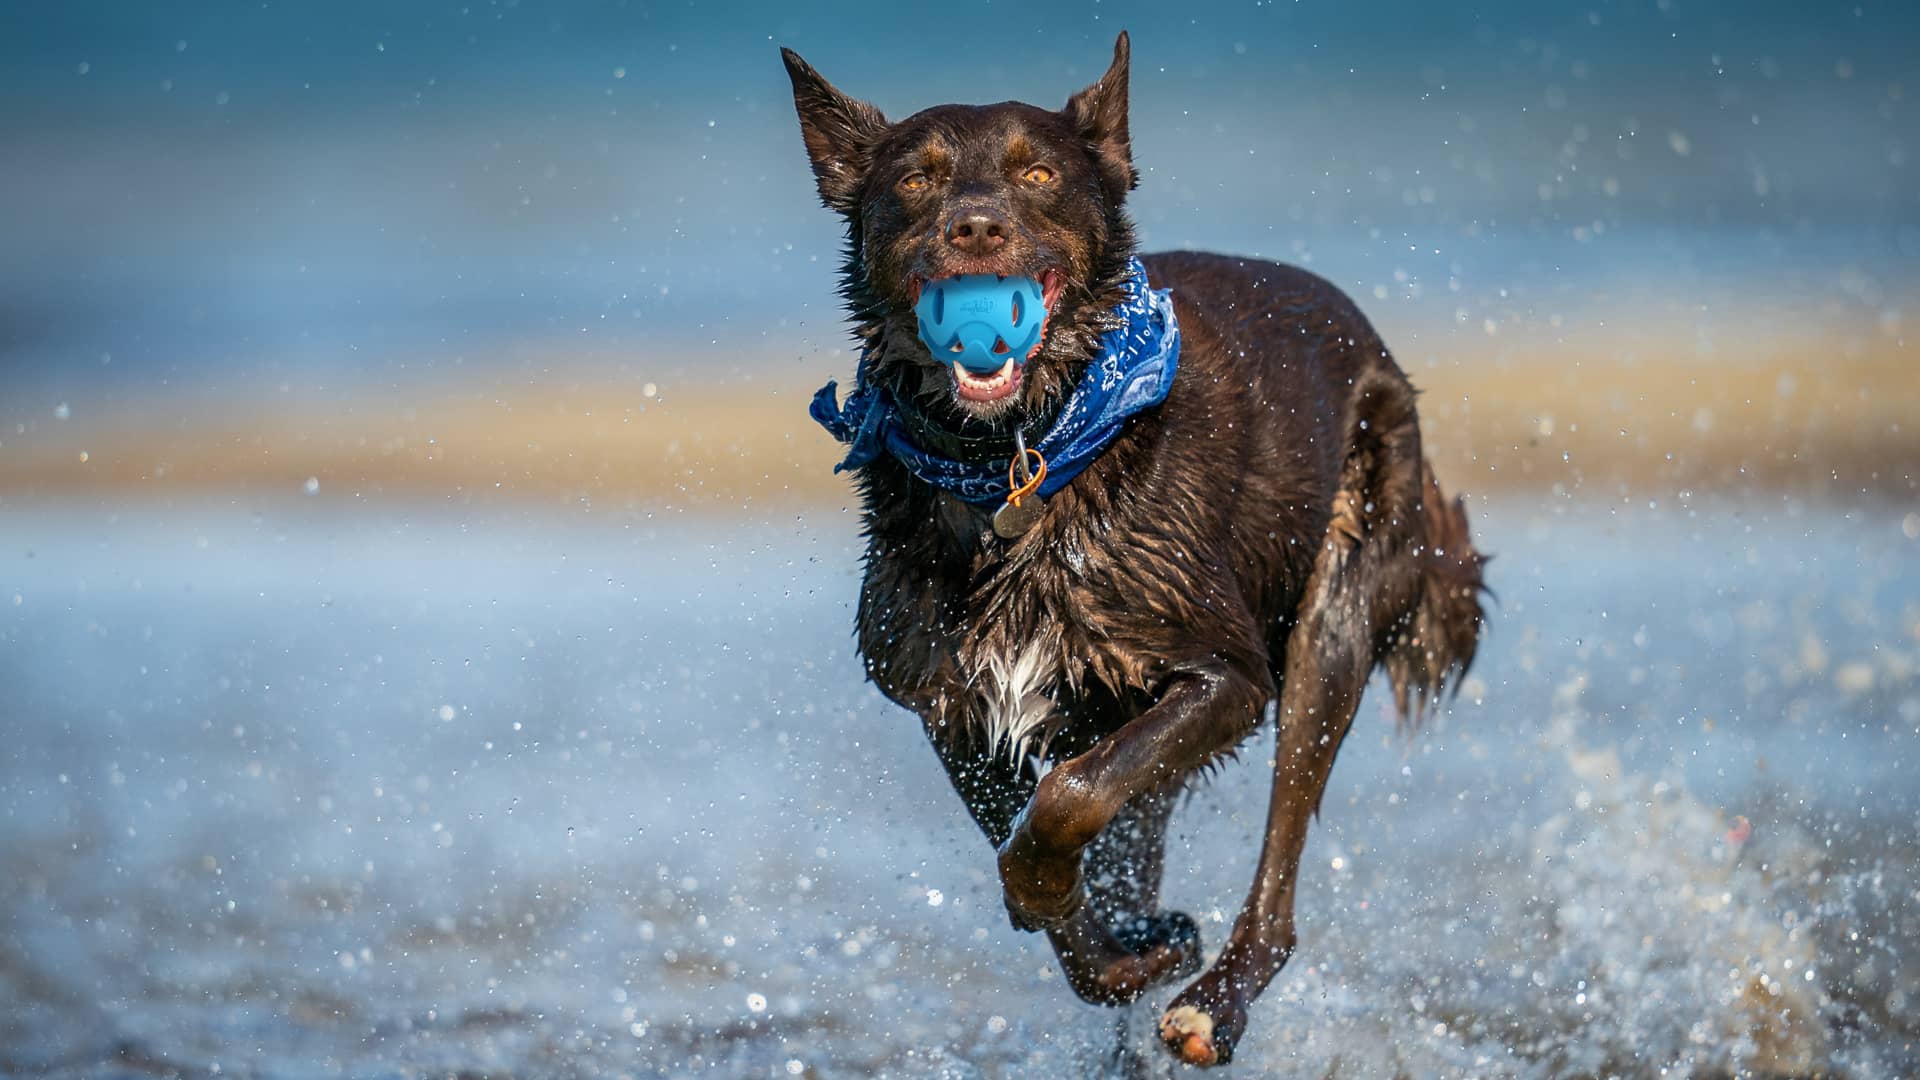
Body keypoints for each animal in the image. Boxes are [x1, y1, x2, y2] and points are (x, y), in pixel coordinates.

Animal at [779, 31, 1482, 1060]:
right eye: (914, 181)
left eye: (1037, 176)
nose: (976, 229)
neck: (1020, 464)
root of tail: (1383, 354)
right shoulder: (950, 699)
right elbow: (1041, 849)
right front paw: (1117, 948)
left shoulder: (1223, 678)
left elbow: (1066, 798)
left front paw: (1059, 896)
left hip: (1334, 618)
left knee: (1278, 886)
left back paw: (1211, 1008)